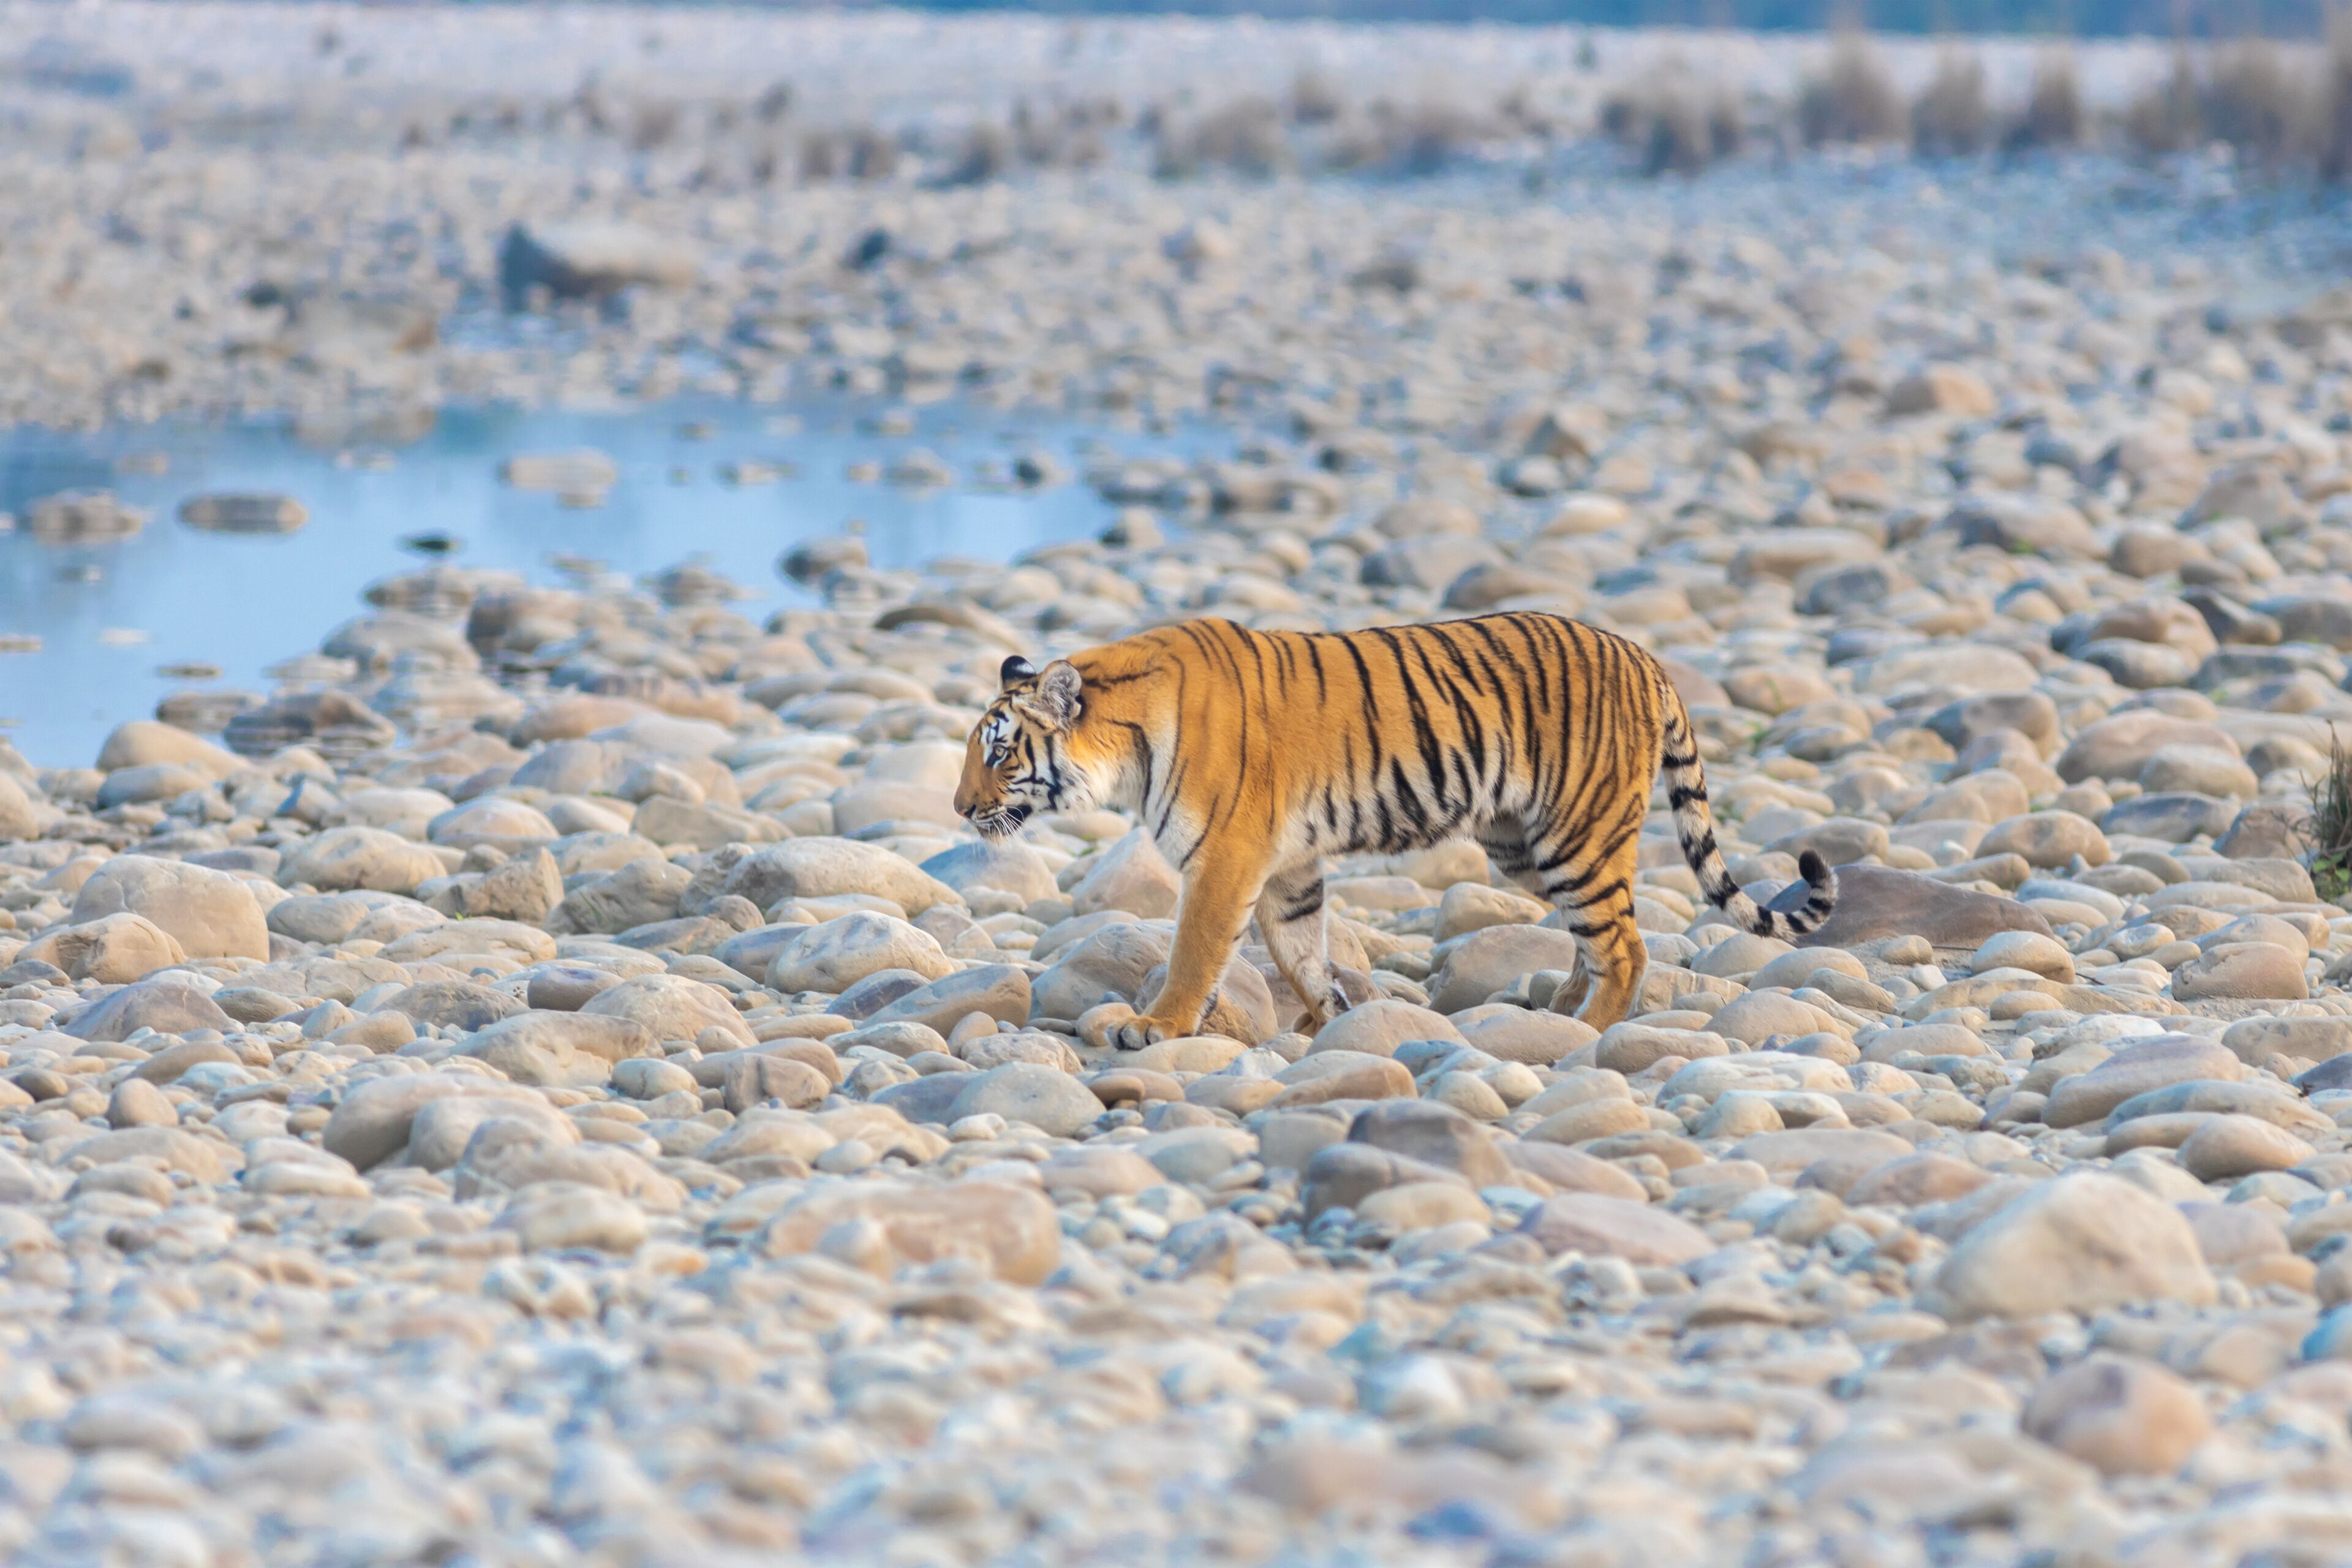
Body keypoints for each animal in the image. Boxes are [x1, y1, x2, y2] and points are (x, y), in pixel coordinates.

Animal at [953, 611, 1839, 1046]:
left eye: (999, 753)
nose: (958, 808)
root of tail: (1645, 656)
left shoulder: (1225, 860)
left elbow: (1195, 952)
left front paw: (1156, 1027)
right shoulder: (1285, 866)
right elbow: (1301, 950)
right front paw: (1327, 1021)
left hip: (1575, 838)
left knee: (1626, 943)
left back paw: (1583, 1034)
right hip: (1523, 845)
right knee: (1600, 933)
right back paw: (1558, 1007)